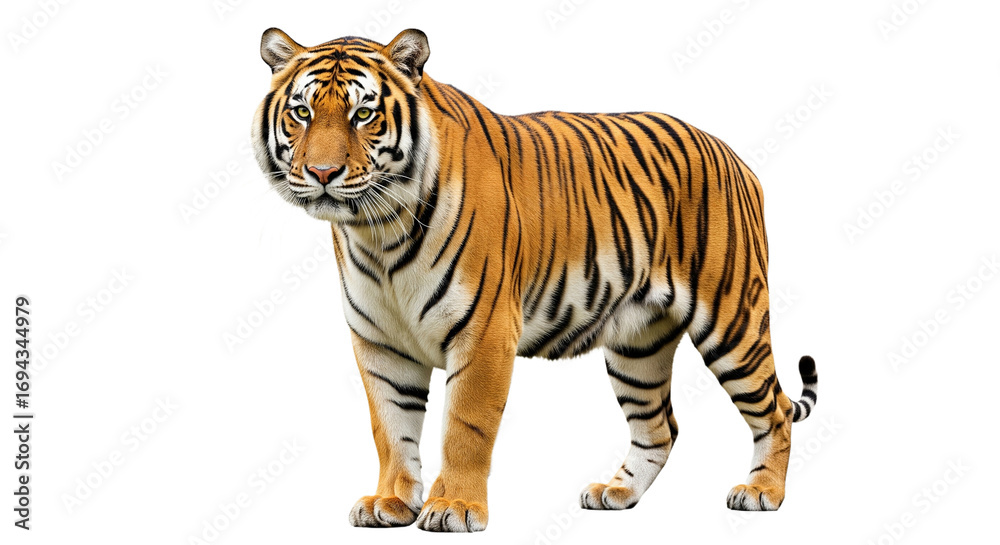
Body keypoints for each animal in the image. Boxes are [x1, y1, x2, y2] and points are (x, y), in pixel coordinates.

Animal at [252, 27, 819, 532]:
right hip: (638, 345)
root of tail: (734, 156)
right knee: (660, 427)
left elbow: (465, 426)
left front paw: (454, 508)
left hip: (732, 321)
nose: (322, 173)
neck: (378, 231)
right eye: (302, 112)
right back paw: (617, 493)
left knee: (774, 410)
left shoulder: (482, 332)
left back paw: (761, 492)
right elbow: (390, 428)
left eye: (363, 114)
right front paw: (390, 502)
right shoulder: (379, 342)